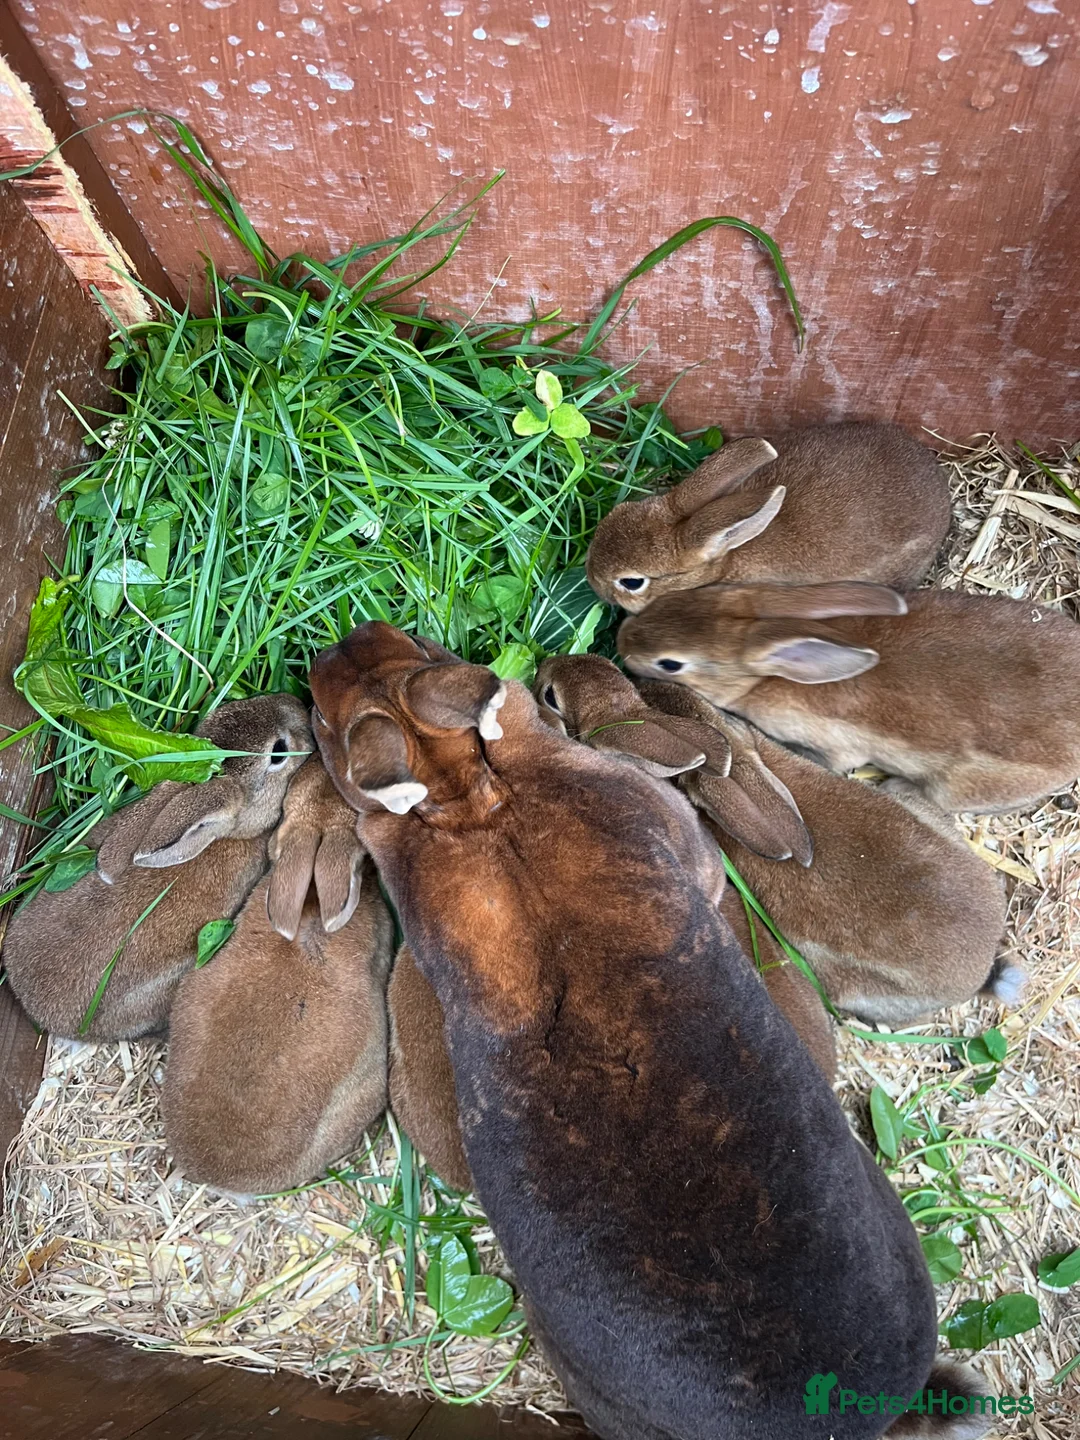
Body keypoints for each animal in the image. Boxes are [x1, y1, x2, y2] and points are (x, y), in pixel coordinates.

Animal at [618, 579, 1080, 815]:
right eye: (678, 598)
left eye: (671, 664)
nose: (622, 641)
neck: (762, 677)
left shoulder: (836, 745)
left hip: (966, 785)